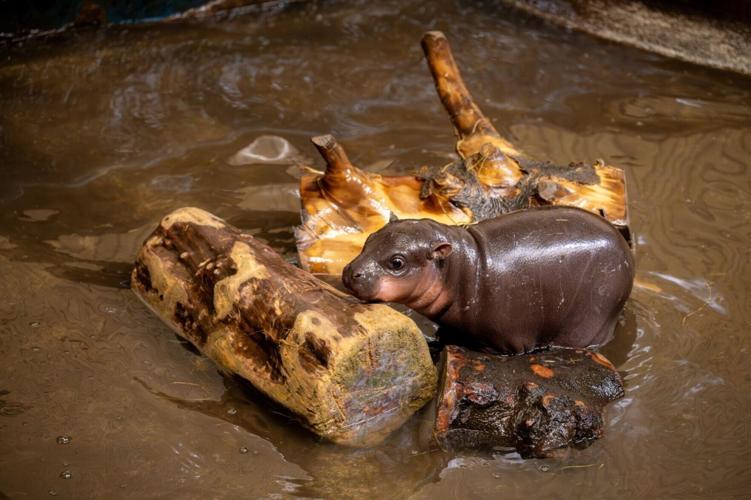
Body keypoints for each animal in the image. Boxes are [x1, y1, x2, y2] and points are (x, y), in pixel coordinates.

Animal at [342, 206, 634, 354]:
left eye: (397, 262)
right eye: (369, 239)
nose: (349, 272)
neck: (461, 268)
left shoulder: (509, 340)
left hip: (589, 320)